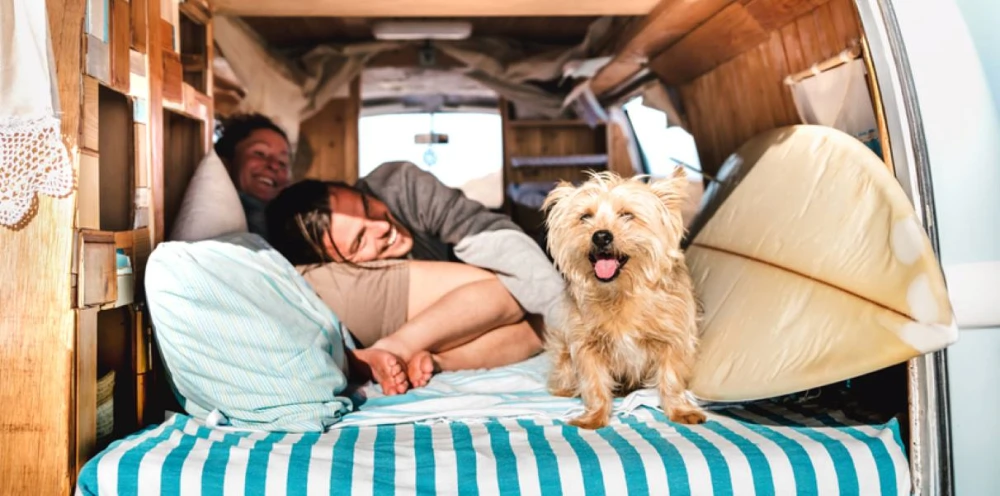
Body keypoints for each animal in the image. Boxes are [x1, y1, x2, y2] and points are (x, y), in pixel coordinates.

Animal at [544, 169, 708, 428]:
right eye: (585, 216)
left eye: (627, 215)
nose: (601, 236)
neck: (620, 292)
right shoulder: (587, 345)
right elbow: (594, 384)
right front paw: (594, 416)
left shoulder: (673, 339)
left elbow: (671, 378)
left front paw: (680, 410)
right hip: (563, 355)